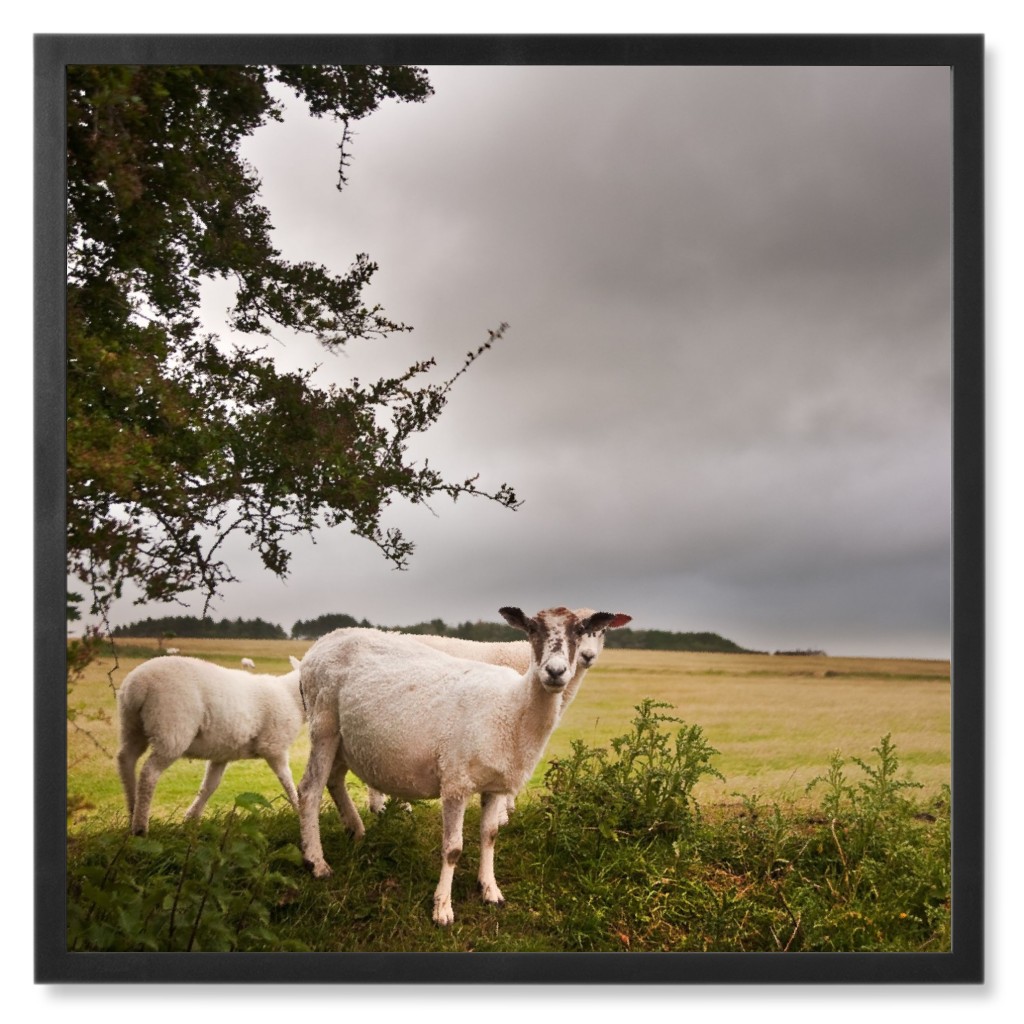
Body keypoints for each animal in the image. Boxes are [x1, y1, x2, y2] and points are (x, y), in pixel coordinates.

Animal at [116, 654, 305, 835]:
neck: (292, 697)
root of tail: (137, 684)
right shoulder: (274, 746)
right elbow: (287, 780)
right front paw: (298, 809)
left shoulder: (222, 753)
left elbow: (210, 785)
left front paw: (191, 818)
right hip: (171, 726)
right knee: (149, 773)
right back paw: (140, 826)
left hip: (132, 724)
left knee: (126, 759)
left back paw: (132, 808)